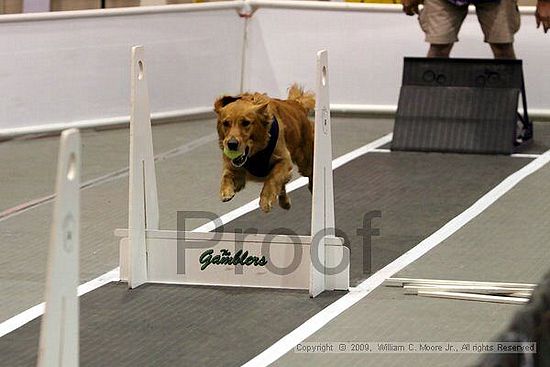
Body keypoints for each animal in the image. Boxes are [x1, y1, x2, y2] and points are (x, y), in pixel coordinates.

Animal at [217, 85, 316, 213]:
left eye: (246, 123)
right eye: (226, 123)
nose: (232, 144)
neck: (255, 153)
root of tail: (296, 103)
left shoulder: (283, 159)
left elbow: (272, 179)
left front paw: (266, 199)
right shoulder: (234, 167)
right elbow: (226, 175)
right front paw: (226, 191)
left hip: (305, 161)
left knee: (310, 173)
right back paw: (285, 202)